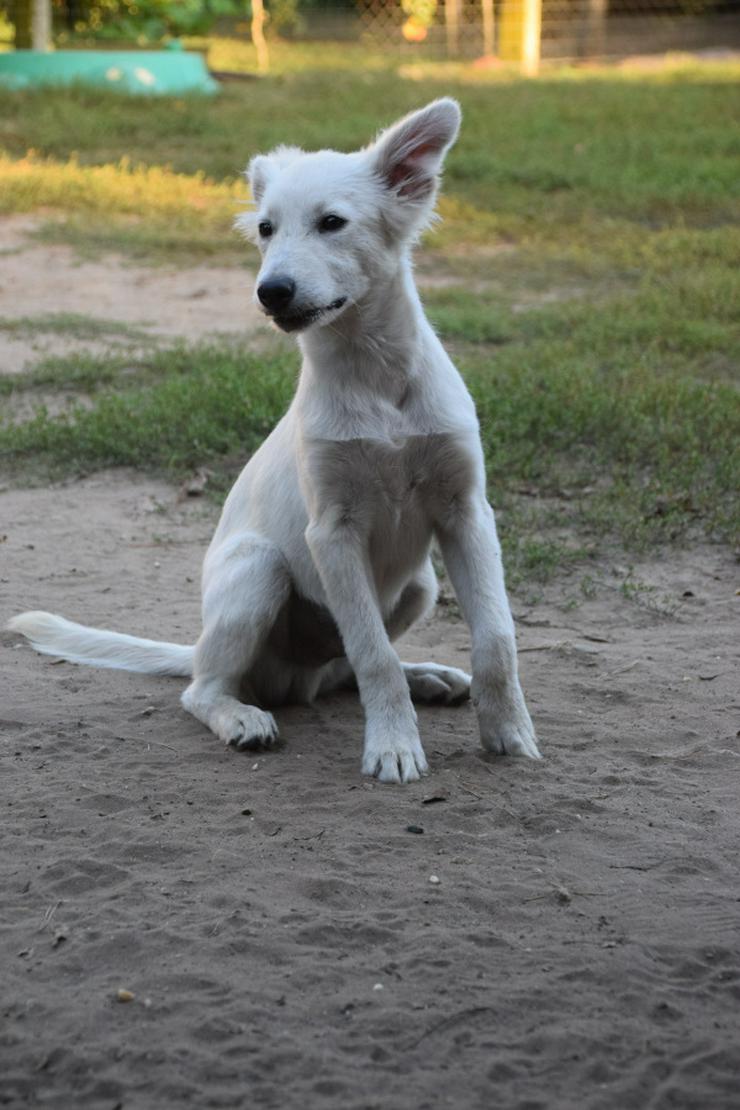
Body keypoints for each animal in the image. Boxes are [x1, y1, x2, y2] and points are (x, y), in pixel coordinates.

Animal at [8, 99, 541, 785]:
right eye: (265, 229)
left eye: (332, 223)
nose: (271, 292)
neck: (376, 381)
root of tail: (293, 678)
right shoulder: (332, 532)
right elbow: (374, 657)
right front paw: (394, 747)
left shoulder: (466, 511)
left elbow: (495, 639)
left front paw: (509, 734)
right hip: (259, 569)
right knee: (207, 688)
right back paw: (243, 718)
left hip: (419, 583)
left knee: (342, 672)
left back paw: (427, 676)